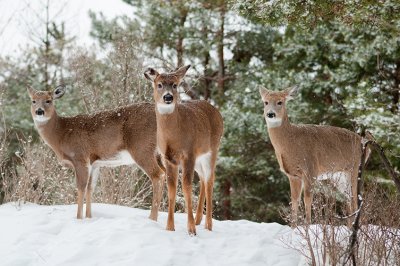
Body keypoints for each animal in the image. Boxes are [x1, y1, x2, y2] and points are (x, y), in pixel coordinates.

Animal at [28, 86, 165, 221]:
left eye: (48, 100)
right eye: (33, 101)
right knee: (165, 174)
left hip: (142, 148)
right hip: (158, 153)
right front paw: (89, 217)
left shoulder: (80, 157)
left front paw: (79, 218)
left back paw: (152, 218)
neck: (61, 134)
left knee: (157, 175)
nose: (39, 111)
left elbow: (81, 187)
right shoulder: (95, 163)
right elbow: (90, 188)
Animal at [145, 65, 225, 236]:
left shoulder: (188, 153)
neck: (173, 136)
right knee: (203, 179)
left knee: (210, 180)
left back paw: (208, 225)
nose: (168, 97)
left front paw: (191, 229)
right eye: (159, 84)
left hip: (212, 150)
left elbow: (186, 186)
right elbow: (172, 188)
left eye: (175, 85)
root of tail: (215, 110)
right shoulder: (168, 158)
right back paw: (199, 219)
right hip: (199, 159)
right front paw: (170, 227)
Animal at [258, 86, 370, 225]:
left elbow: (307, 199)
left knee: (356, 199)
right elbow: (294, 200)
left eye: (280, 102)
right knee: (349, 200)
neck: (290, 143)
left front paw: (307, 226)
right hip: (340, 176)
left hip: (355, 169)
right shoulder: (293, 175)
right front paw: (293, 227)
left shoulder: (310, 169)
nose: (270, 114)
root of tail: (366, 145)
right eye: (265, 102)